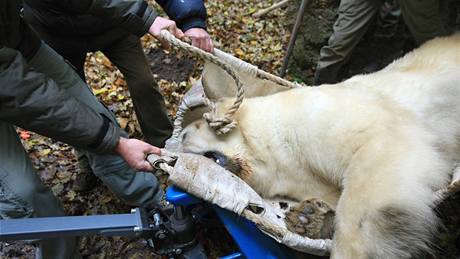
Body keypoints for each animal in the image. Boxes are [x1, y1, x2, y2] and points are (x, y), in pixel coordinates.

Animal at [180, 35, 460, 259]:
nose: (180, 136)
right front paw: (310, 218)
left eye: (194, 128)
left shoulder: (335, 119)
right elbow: (331, 193)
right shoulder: (298, 174)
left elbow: (372, 172)